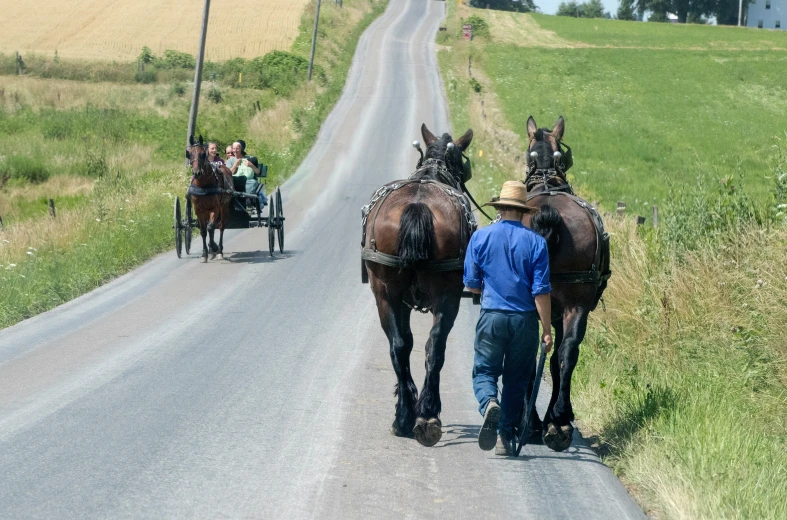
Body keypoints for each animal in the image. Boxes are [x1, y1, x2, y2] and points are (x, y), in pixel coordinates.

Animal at [362, 125, 474, 446]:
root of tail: (417, 205)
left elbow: (406, 343)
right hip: (444, 296)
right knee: (430, 346)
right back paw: (423, 416)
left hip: (387, 294)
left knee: (404, 347)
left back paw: (410, 417)